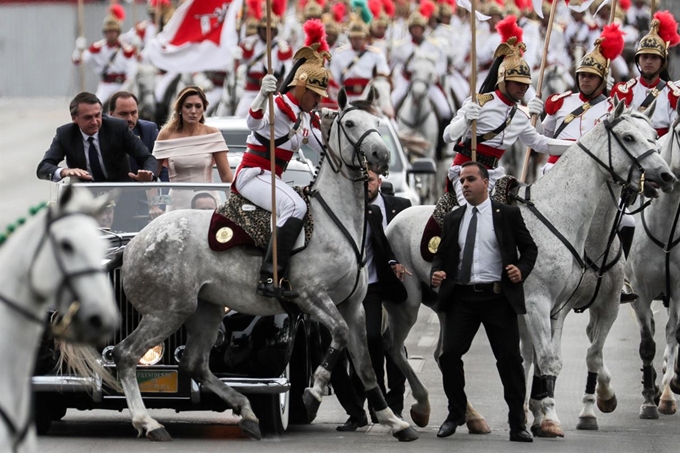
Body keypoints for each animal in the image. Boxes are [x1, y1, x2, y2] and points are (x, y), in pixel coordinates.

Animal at [112, 88, 420, 442]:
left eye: (378, 123)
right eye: (351, 123)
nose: (380, 155)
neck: (334, 219)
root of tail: (135, 241)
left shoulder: (352, 305)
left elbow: (365, 363)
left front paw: (394, 421)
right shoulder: (312, 297)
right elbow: (339, 335)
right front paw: (313, 392)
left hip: (205, 310)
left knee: (194, 364)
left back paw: (245, 412)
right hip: (167, 311)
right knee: (126, 354)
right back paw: (149, 423)